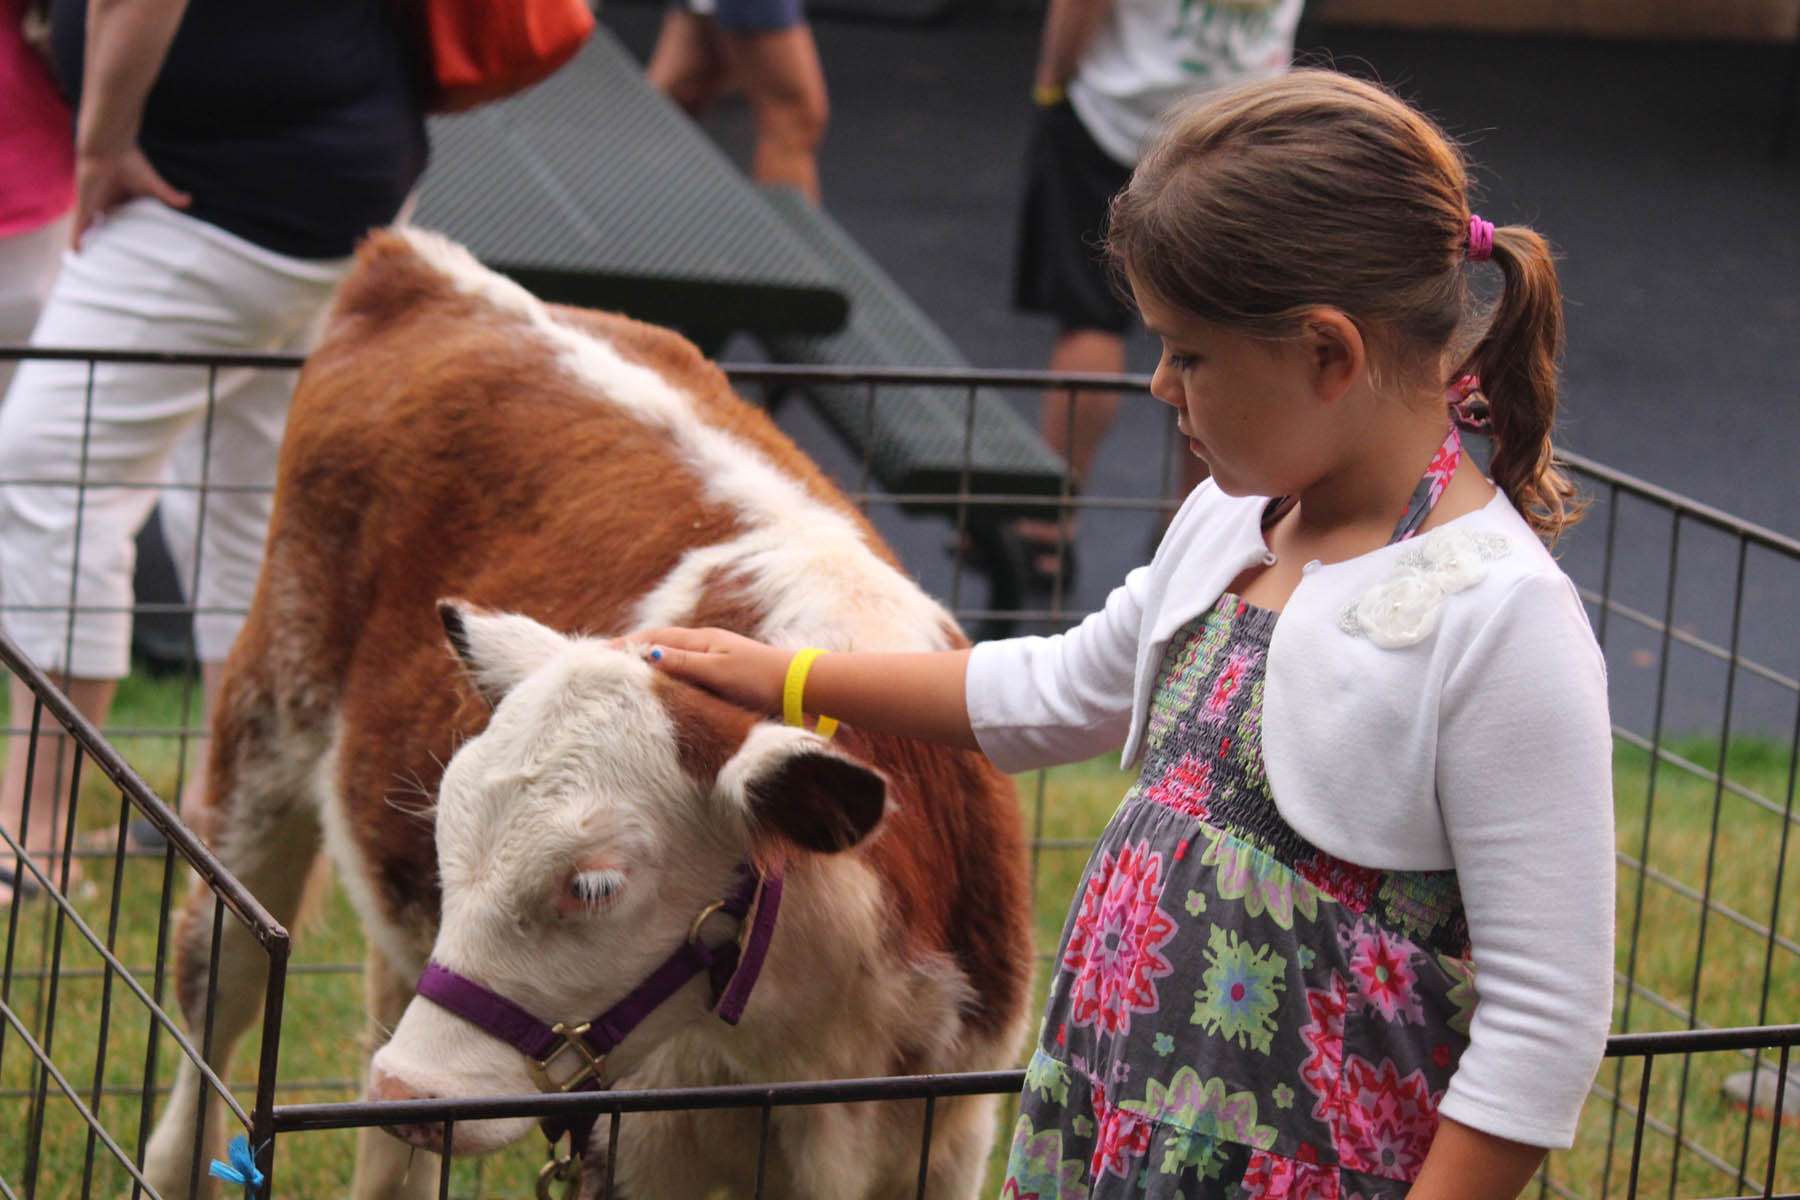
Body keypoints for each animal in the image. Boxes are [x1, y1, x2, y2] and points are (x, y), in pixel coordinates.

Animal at [142, 230, 1036, 1194]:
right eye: (447, 835)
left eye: (595, 885)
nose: (409, 1093)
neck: (815, 1050)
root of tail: (425, 266)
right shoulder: (633, 1149)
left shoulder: (948, 1136)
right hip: (263, 742)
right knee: (215, 1002)